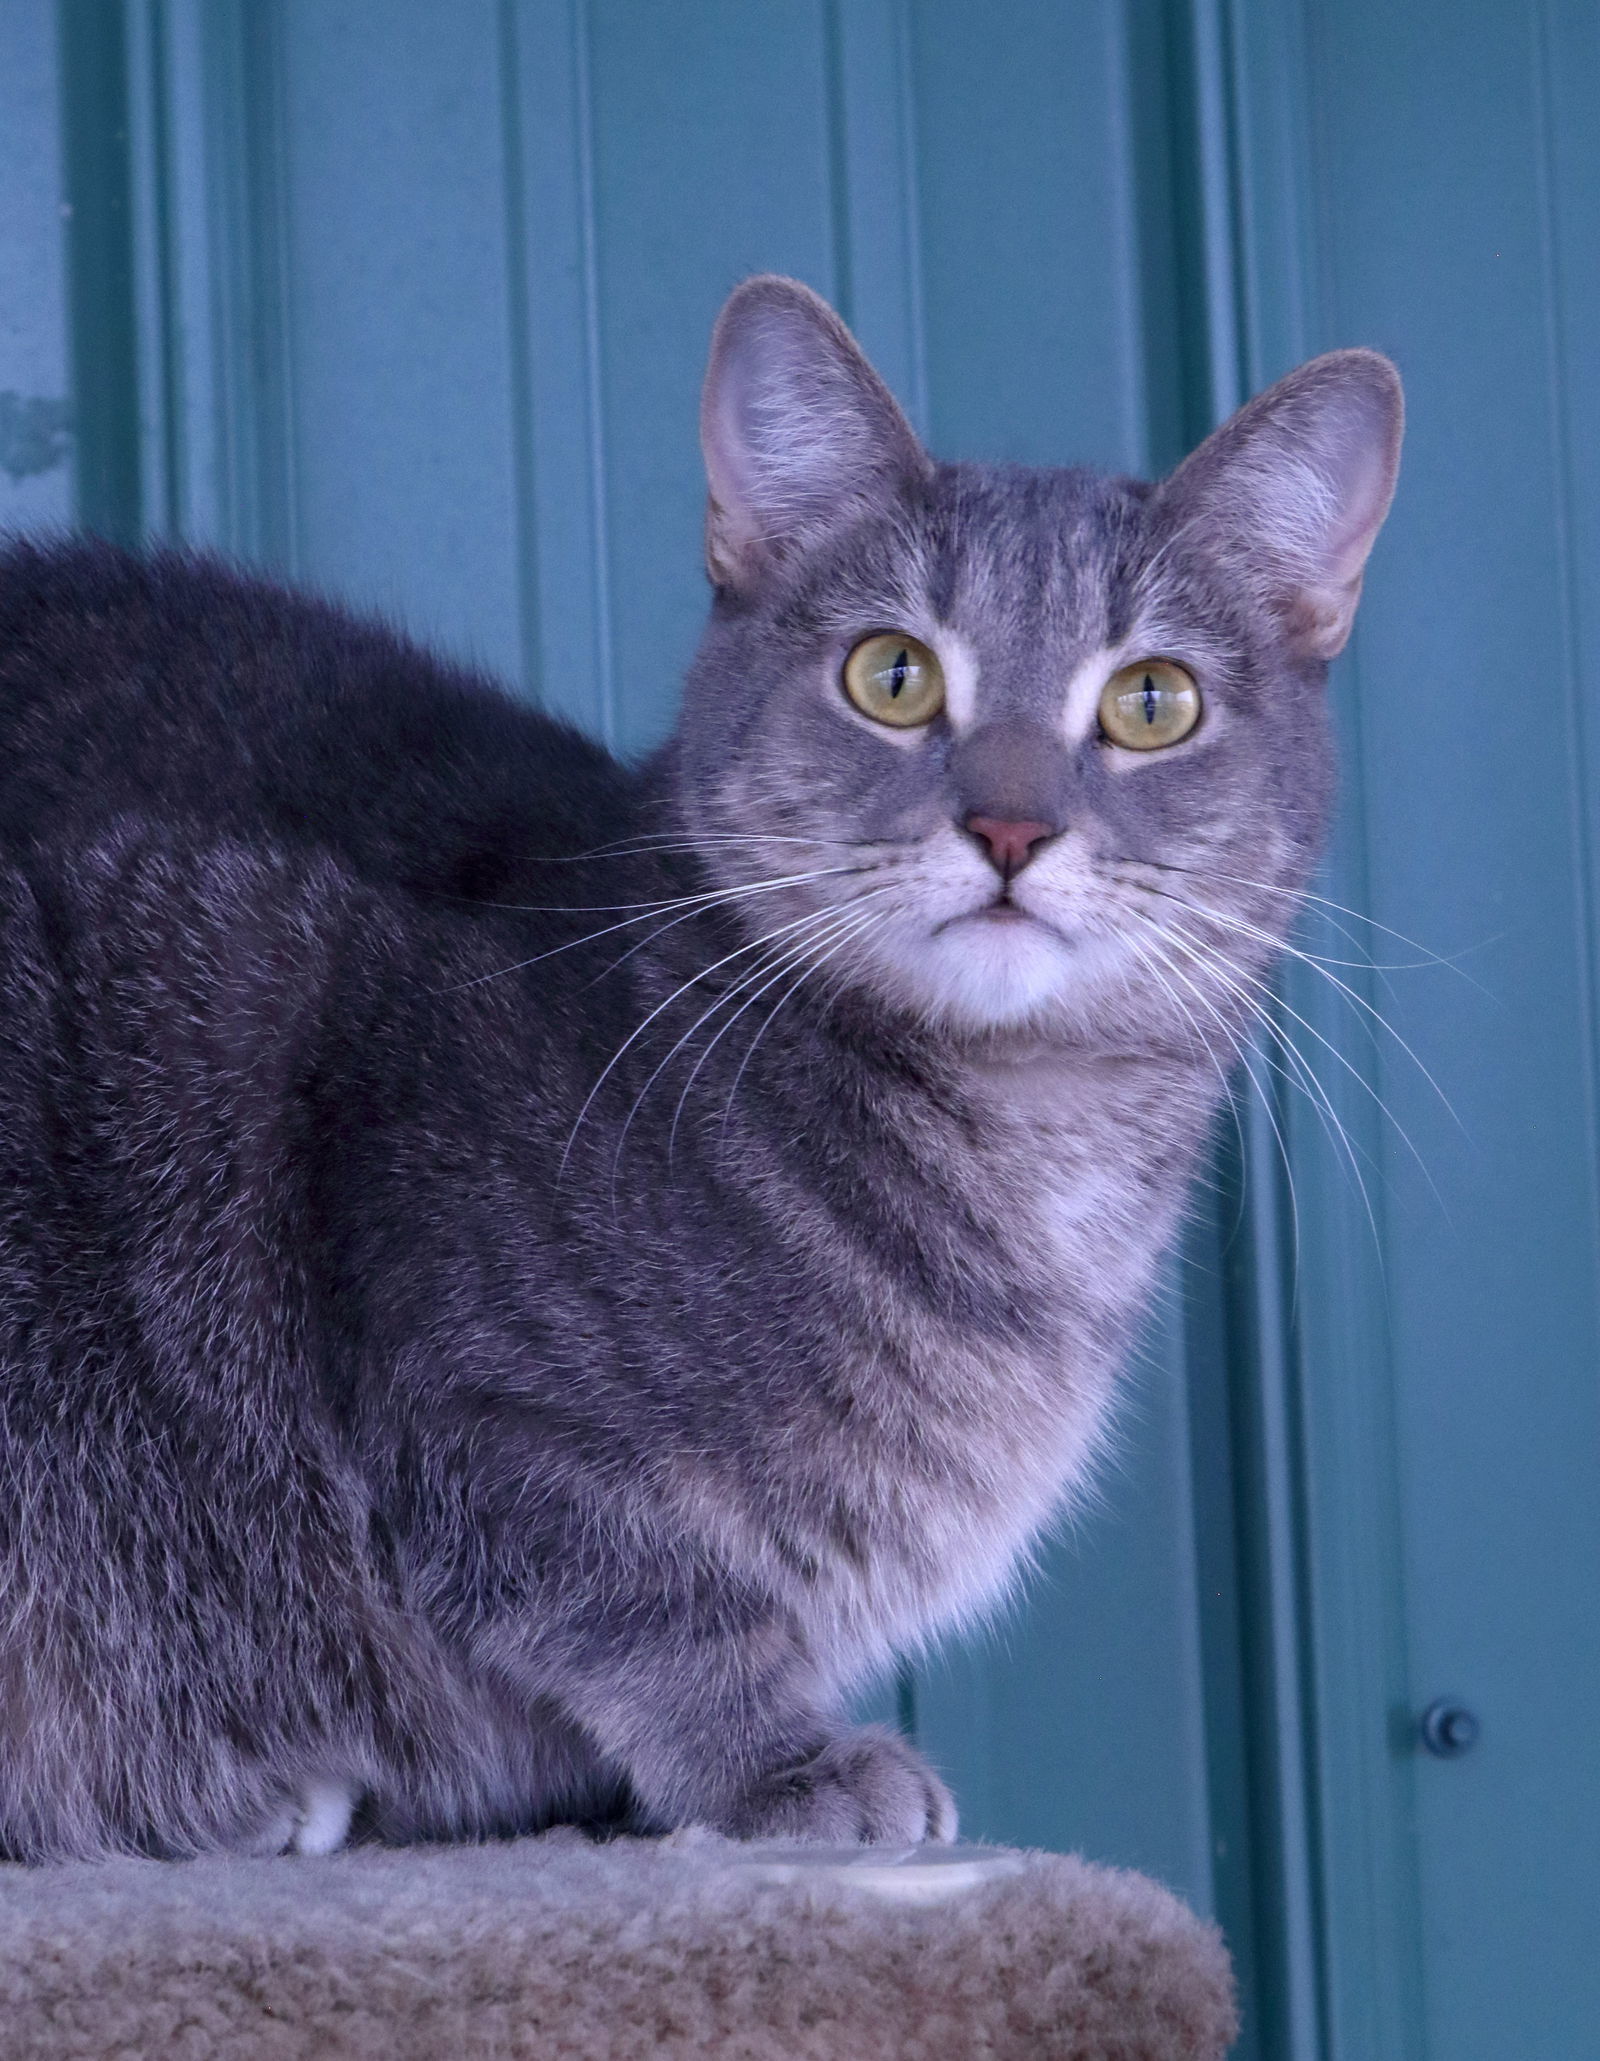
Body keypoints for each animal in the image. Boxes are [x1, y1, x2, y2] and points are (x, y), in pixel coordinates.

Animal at [0, 278, 1402, 1871]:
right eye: (891, 675)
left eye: (1153, 701)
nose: (1010, 826)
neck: (1033, 1167)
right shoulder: (467, 1392)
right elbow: (645, 1610)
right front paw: (778, 1760)